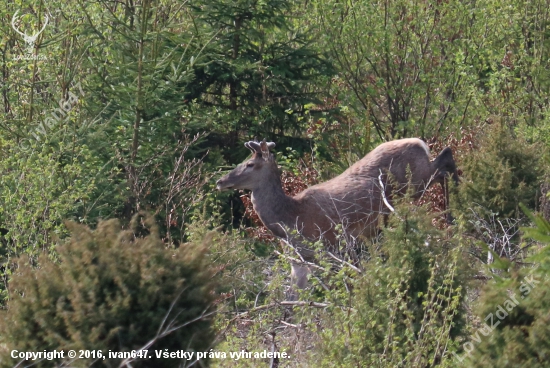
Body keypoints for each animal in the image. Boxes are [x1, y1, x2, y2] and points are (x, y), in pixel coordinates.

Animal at [218, 138, 460, 296]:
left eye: (250, 164)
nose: (220, 181)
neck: (292, 219)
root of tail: (420, 142)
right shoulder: (299, 260)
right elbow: (294, 297)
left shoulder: (329, 247)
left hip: (416, 181)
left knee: (445, 161)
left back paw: (453, 215)